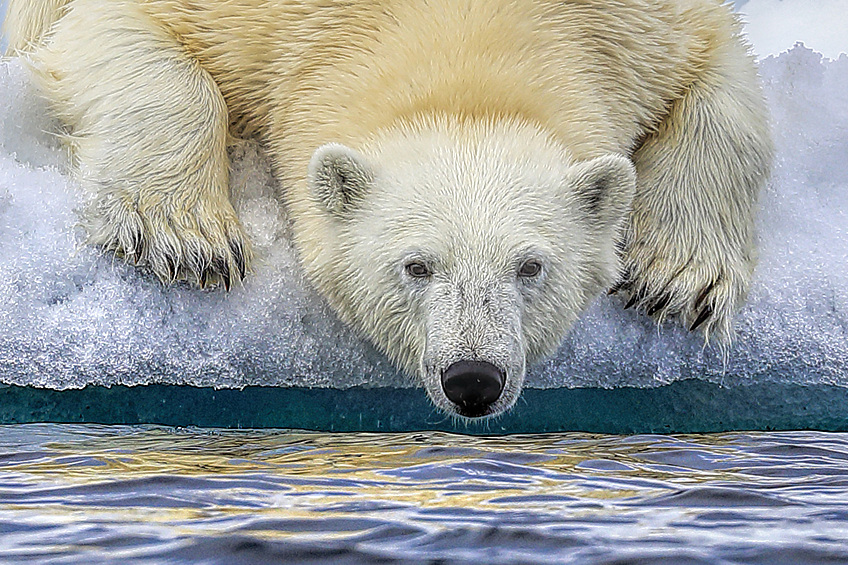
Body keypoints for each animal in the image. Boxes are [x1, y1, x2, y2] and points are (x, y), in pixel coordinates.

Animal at [6, 0, 772, 414]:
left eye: (531, 267)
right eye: (416, 266)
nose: (473, 379)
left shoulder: (640, 29)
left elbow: (724, 88)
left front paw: (678, 280)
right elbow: (127, 34)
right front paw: (182, 236)